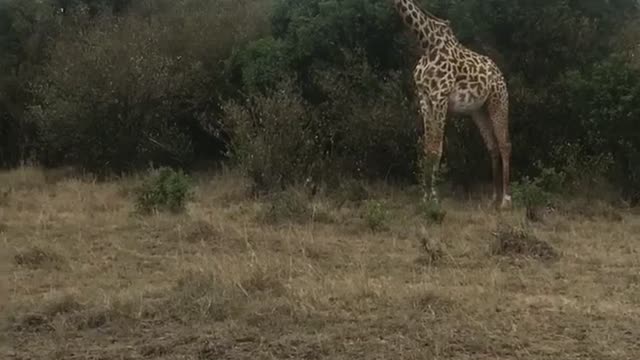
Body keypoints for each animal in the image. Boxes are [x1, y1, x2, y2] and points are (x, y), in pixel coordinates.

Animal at [388, 0, 512, 208]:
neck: (427, 43)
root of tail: (500, 74)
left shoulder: (440, 96)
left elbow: (437, 148)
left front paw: (433, 198)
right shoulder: (424, 98)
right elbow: (428, 147)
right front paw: (425, 197)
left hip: (499, 102)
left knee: (505, 144)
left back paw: (505, 200)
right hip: (479, 111)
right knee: (492, 146)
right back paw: (494, 198)